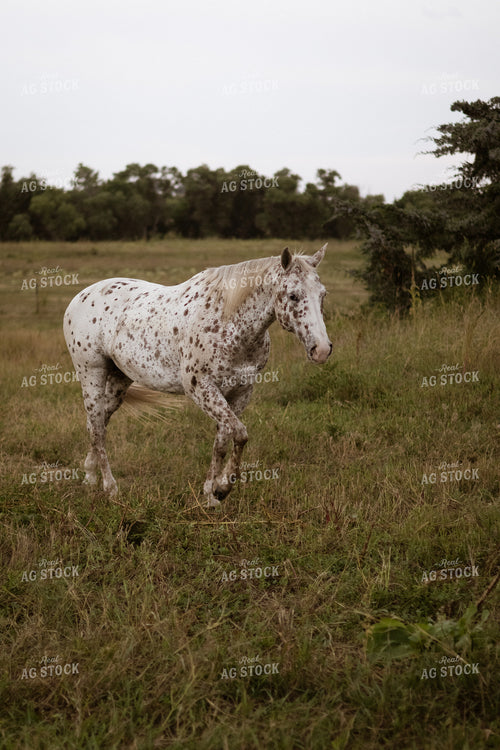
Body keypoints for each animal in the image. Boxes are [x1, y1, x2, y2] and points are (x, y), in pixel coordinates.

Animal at [63, 244, 332, 507]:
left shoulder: (240, 391)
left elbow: (222, 441)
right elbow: (240, 434)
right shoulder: (201, 388)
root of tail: (80, 297)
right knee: (97, 428)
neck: (228, 322)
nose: (321, 350)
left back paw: (90, 477)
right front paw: (223, 488)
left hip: (119, 380)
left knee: (97, 423)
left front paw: (210, 494)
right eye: (293, 296)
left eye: (322, 294)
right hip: (91, 373)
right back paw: (110, 488)